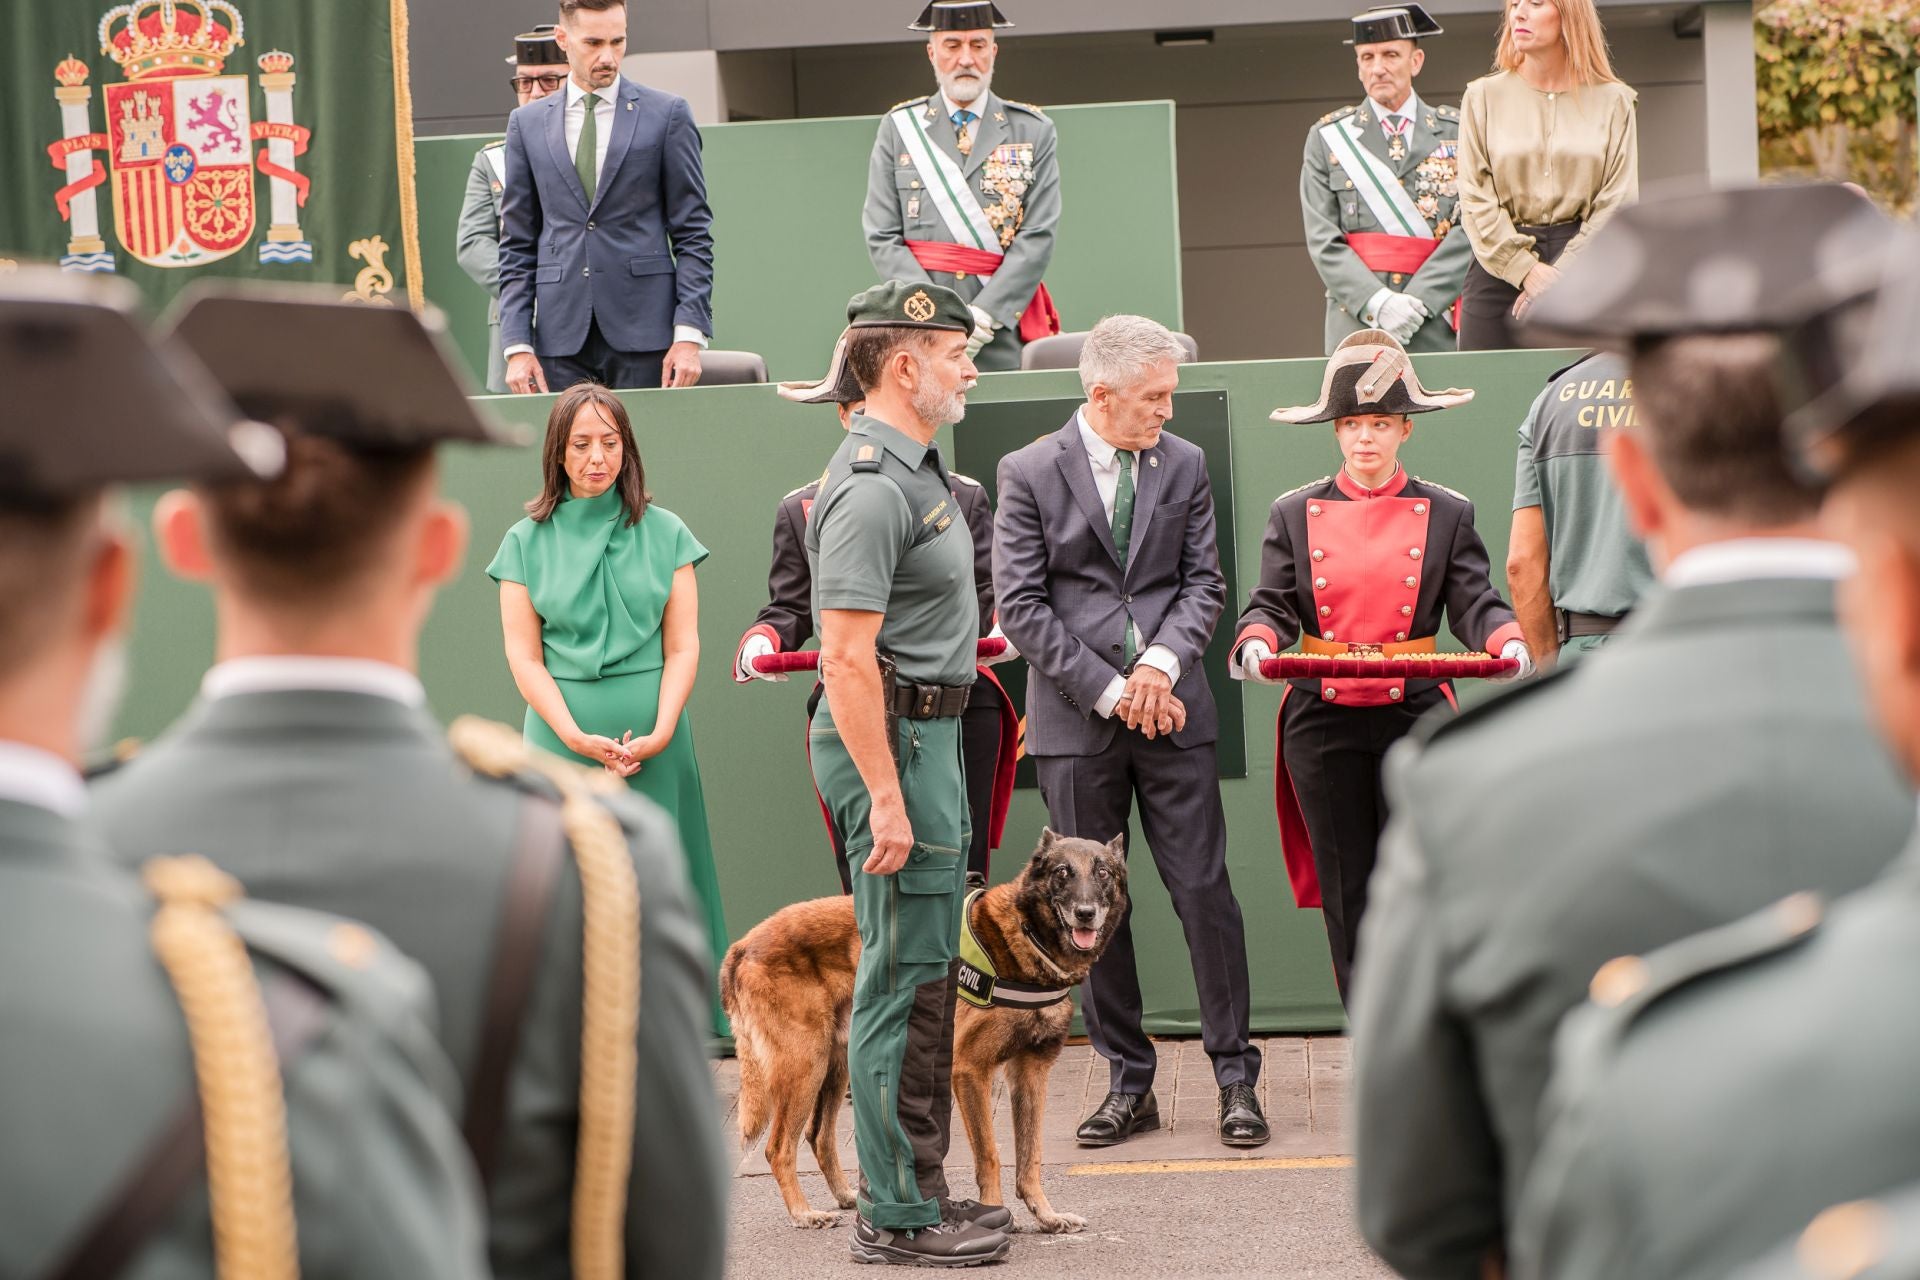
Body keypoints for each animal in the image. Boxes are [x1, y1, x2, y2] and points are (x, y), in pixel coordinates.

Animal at [725, 825, 1128, 1235]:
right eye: (1062, 872)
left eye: (1103, 873)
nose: (1085, 914)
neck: (1025, 938)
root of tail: (742, 945)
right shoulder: (970, 1071)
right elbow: (990, 1154)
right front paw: (996, 1214)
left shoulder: (1031, 1073)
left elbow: (1030, 1156)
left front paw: (1046, 1215)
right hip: (805, 1066)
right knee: (778, 1147)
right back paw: (803, 1212)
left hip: (834, 1066)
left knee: (819, 1136)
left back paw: (847, 1198)